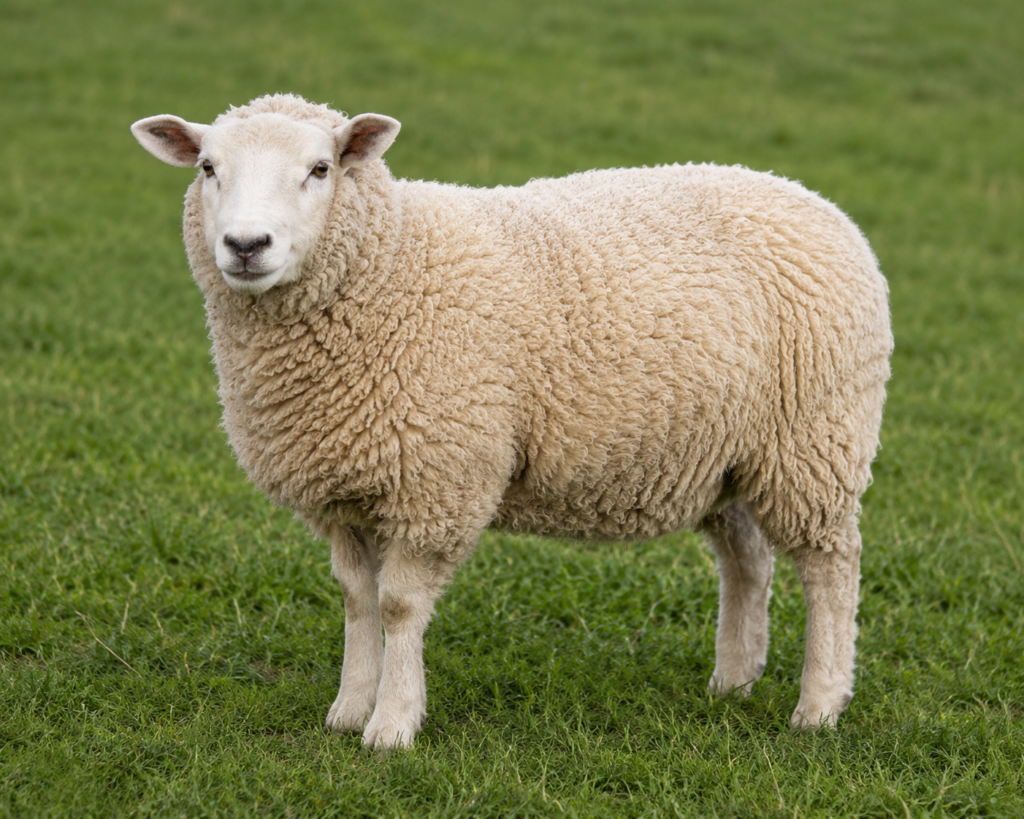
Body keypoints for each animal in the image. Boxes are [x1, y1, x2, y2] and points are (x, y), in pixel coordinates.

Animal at [131, 93, 893, 751]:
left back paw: (820, 703)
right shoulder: (345, 490)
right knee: (746, 560)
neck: (391, 262)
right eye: (207, 168)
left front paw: (392, 725)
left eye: (321, 169)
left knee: (830, 566)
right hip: (722, 451)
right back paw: (733, 680)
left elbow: (398, 605)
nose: (246, 244)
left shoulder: (437, 479)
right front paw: (348, 709)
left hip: (813, 439)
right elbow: (356, 600)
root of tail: (816, 202)